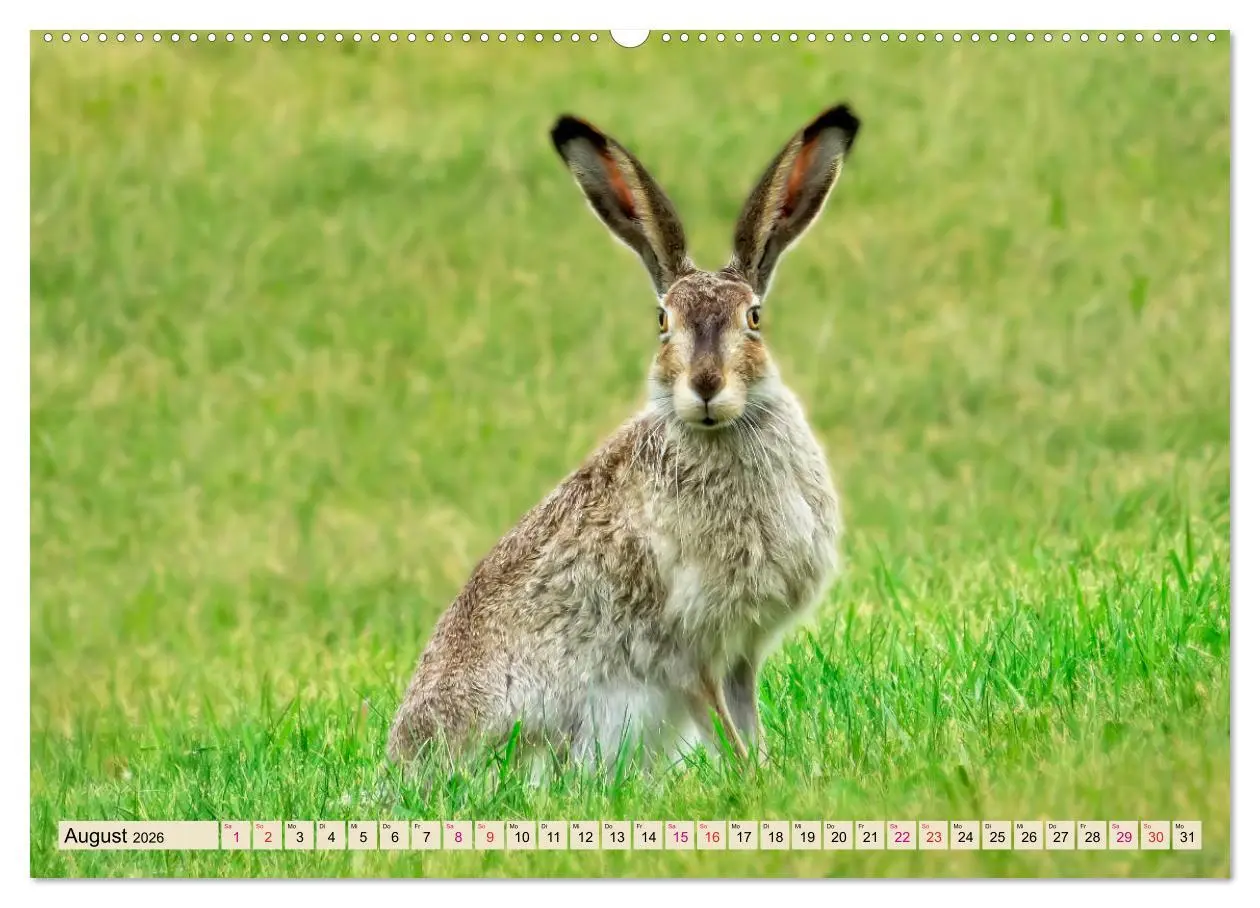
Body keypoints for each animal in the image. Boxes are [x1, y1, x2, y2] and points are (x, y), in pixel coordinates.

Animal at [388, 103, 860, 773]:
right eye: (664, 322)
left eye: (754, 318)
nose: (705, 386)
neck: (719, 431)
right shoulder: (688, 650)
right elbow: (720, 722)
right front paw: (750, 777)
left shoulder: (740, 650)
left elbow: (746, 718)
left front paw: (768, 771)